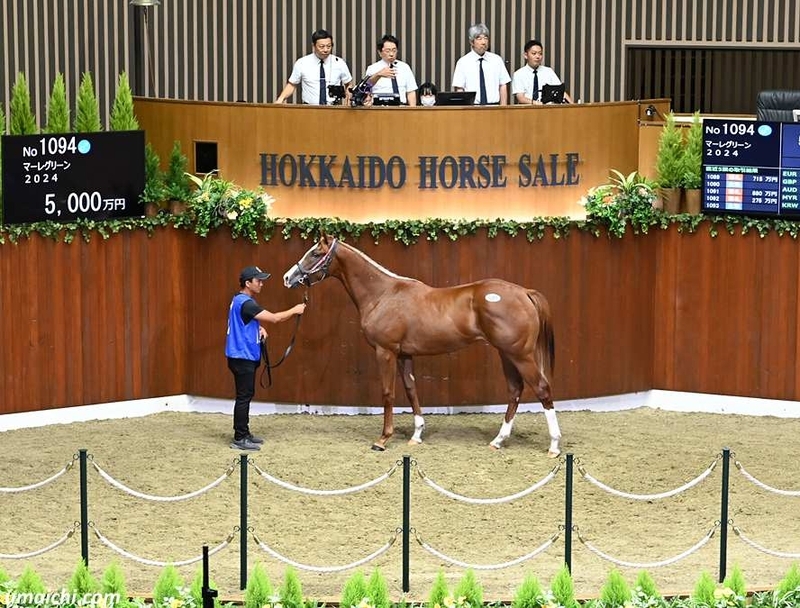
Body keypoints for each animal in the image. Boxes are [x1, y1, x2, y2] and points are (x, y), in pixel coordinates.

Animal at [283, 235, 562, 456]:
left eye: (315, 253)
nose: (288, 277)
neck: (383, 295)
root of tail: (524, 292)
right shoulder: (404, 354)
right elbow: (410, 390)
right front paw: (416, 435)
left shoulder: (385, 352)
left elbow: (388, 393)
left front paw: (383, 439)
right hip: (506, 354)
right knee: (515, 390)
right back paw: (499, 440)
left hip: (520, 355)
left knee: (542, 389)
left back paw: (554, 446)